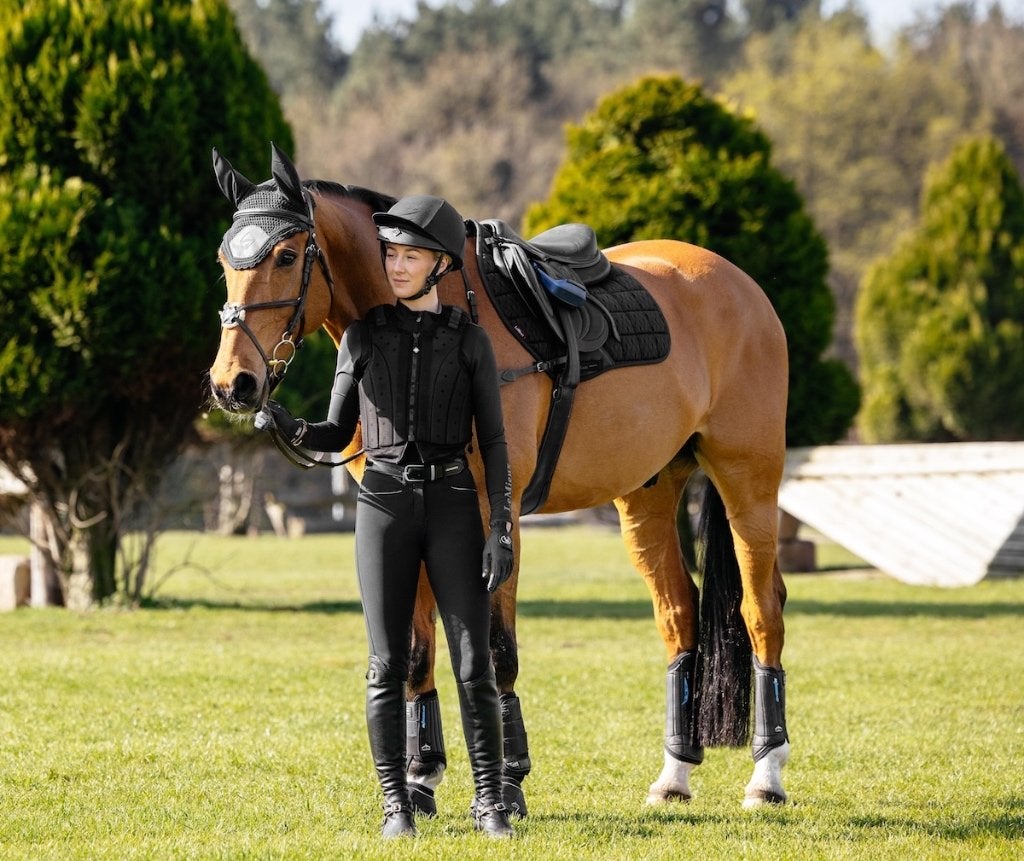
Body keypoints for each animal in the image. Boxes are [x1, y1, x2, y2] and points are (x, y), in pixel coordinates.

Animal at [208, 143, 791, 813]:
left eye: (285, 255)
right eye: (224, 260)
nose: (233, 384)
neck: (421, 329)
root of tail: (739, 284)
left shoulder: (496, 515)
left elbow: (495, 649)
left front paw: (508, 782)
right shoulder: (409, 510)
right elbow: (417, 653)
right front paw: (421, 777)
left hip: (748, 481)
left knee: (761, 611)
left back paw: (766, 775)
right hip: (649, 495)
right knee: (678, 615)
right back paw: (674, 774)